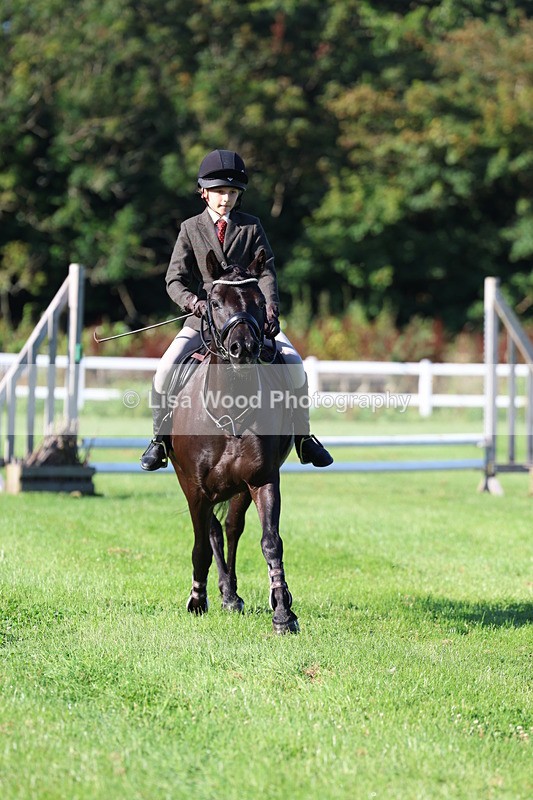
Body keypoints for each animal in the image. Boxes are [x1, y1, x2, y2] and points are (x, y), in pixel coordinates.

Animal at [167, 249, 299, 634]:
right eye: (213, 301)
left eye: (259, 301)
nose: (244, 348)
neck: (231, 408)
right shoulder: (194, 487)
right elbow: (200, 545)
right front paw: (197, 600)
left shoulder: (262, 479)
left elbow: (271, 542)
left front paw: (283, 612)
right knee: (212, 532)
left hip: (238, 488)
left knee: (231, 529)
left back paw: (234, 594)